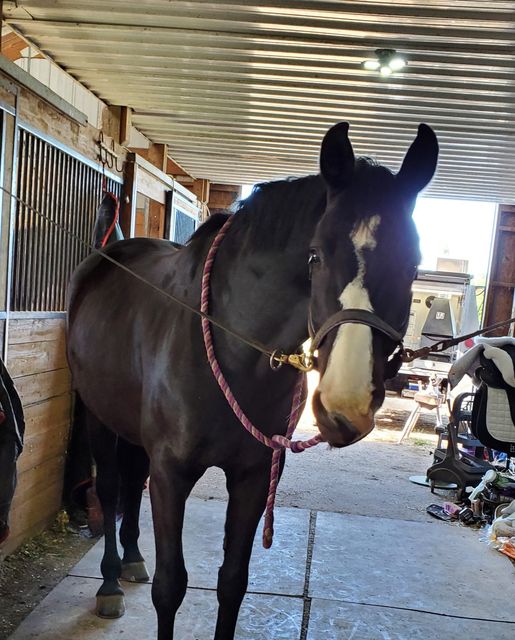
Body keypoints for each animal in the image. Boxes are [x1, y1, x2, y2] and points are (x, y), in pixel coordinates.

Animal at [66, 121, 438, 639]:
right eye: (315, 256)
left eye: (414, 263)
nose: (344, 406)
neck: (232, 349)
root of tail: (110, 248)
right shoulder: (172, 473)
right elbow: (170, 586)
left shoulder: (252, 476)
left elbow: (232, 583)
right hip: (98, 417)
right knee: (109, 487)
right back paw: (109, 584)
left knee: (133, 480)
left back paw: (133, 560)